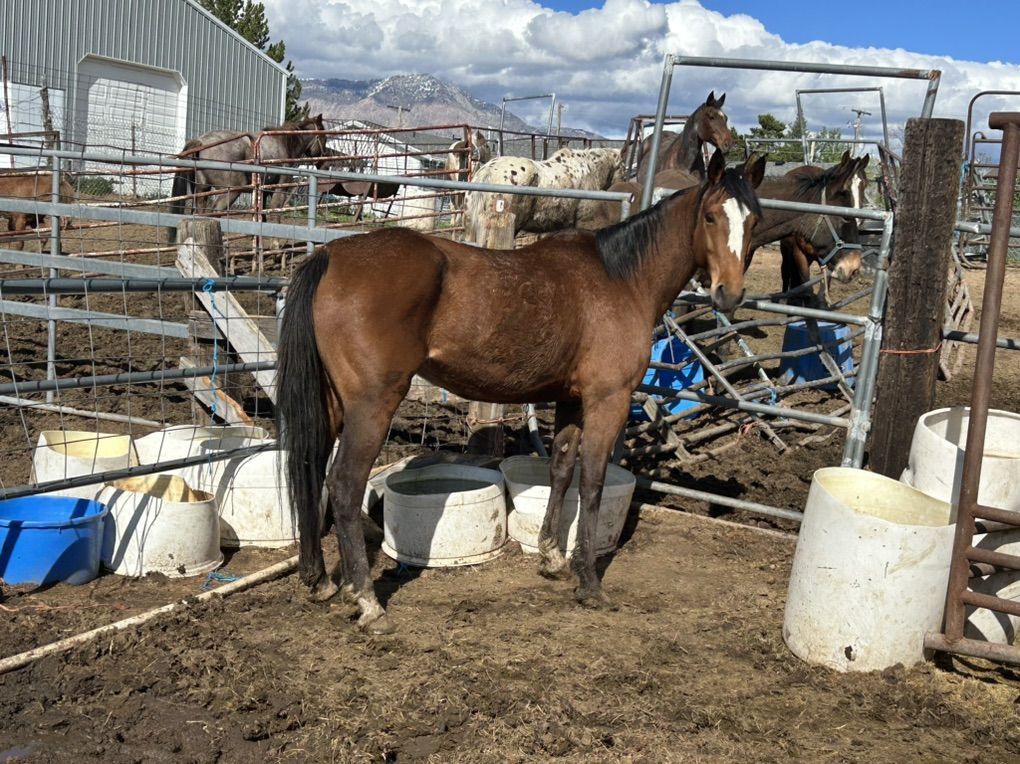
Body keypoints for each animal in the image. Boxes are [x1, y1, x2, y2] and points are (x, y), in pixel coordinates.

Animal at [168, 114, 326, 241]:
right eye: (324, 138)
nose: (323, 161)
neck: (284, 143)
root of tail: (200, 142)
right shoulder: (279, 187)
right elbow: (275, 209)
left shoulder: (263, 191)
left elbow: (262, 214)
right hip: (231, 191)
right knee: (215, 212)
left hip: (203, 190)